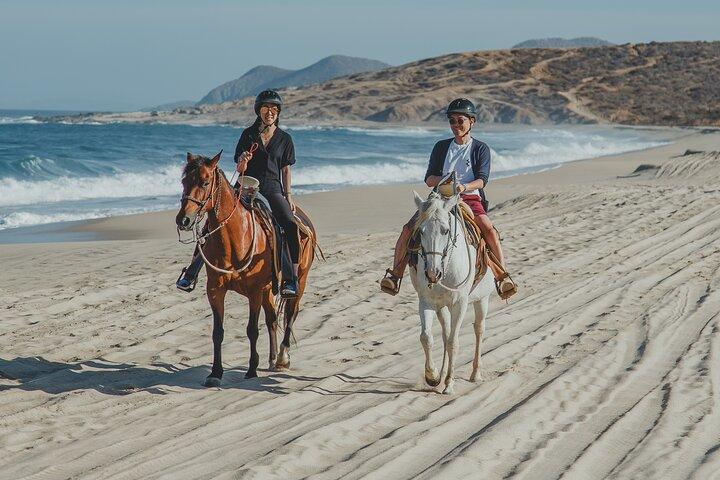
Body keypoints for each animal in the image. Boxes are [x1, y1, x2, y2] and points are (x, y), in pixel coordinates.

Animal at [175, 150, 317, 387]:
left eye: (205, 182)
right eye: (184, 182)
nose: (183, 220)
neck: (235, 239)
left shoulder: (254, 292)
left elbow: (252, 330)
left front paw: (251, 370)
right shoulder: (215, 290)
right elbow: (218, 332)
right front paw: (215, 373)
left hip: (299, 281)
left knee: (290, 315)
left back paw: (282, 358)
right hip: (269, 289)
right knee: (272, 320)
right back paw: (272, 358)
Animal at [409, 191, 494, 394]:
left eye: (446, 230)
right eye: (420, 231)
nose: (433, 273)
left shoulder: (460, 303)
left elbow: (453, 342)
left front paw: (449, 384)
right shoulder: (426, 302)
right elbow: (426, 337)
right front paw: (432, 376)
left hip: (482, 299)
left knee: (479, 329)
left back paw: (475, 374)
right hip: (442, 307)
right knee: (445, 333)